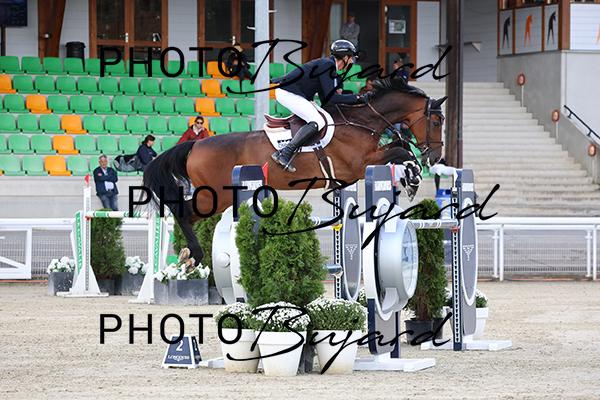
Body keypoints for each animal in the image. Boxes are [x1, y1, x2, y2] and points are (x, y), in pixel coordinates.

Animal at [142, 76, 447, 266]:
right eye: (435, 121)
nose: (435, 157)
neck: (363, 120)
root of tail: (196, 144)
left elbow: (400, 146)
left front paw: (411, 178)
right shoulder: (359, 165)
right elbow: (402, 152)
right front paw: (414, 179)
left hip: (217, 197)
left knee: (186, 214)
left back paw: (188, 255)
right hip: (216, 195)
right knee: (182, 212)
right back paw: (194, 255)